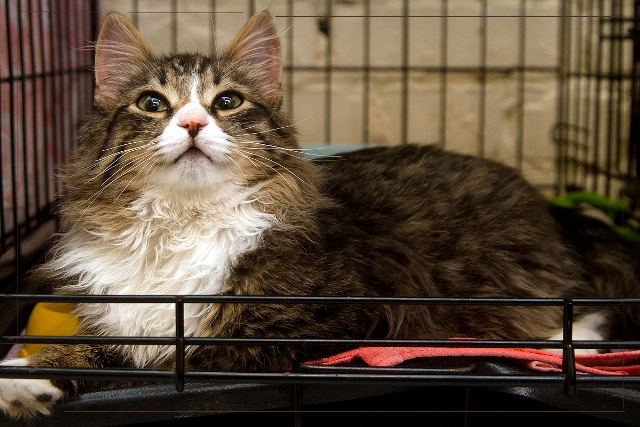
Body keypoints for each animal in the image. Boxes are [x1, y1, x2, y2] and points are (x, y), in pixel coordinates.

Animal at [1, 10, 639, 419]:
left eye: (227, 102)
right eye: (152, 104)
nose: (193, 123)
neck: (184, 220)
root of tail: (553, 209)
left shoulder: (313, 327)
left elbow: (164, 356)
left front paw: (32, 374)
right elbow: (112, 345)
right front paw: (29, 374)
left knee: (582, 315)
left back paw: (569, 342)